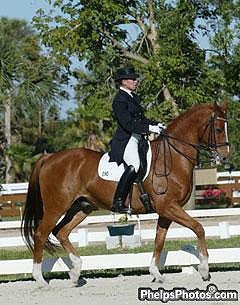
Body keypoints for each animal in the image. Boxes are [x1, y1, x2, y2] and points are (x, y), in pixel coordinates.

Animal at [21, 101, 229, 284]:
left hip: (82, 206)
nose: (225, 158)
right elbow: (198, 228)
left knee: (61, 231)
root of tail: (49, 158)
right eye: (219, 129)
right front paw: (204, 270)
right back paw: (40, 279)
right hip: (56, 207)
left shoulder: (166, 211)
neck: (172, 157)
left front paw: (156, 274)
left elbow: (159, 240)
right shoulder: (168, 207)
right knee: (41, 234)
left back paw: (75, 272)